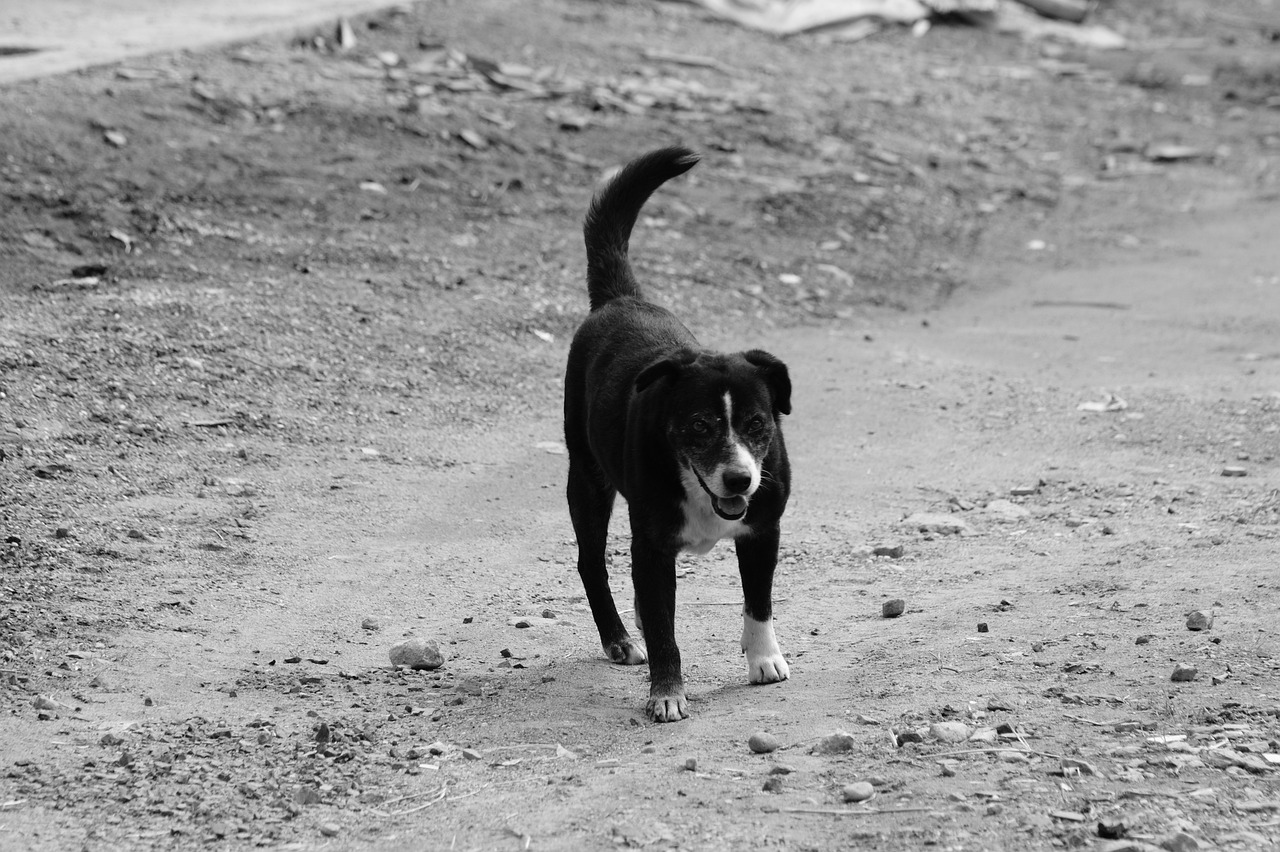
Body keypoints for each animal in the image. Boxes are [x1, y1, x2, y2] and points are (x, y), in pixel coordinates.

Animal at [563, 149, 788, 721]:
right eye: (699, 426)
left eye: (757, 424)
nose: (739, 480)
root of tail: (622, 297)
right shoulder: (654, 546)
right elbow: (666, 632)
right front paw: (667, 692)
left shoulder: (763, 532)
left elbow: (758, 602)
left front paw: (764, 659)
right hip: (587, 480)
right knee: (591, 563)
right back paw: (620, 638)